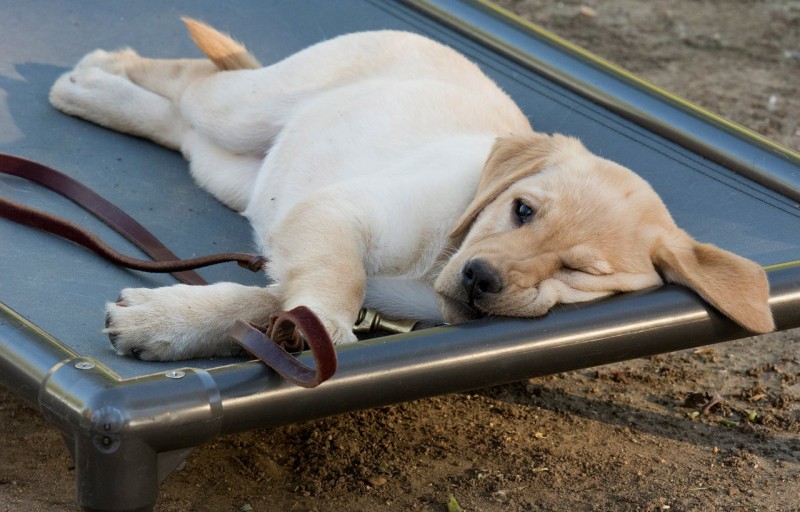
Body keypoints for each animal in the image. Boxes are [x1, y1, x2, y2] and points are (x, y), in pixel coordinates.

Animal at [47, 20, 772, 360]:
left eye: (578, 271)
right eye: (521, 210)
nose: (481, 278)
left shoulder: (310, 243)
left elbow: (264, 304)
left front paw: (162, 323)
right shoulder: (333, 213)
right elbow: (333, 281)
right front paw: (325, 326)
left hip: (237, 172)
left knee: (178, 123)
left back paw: (100, 94)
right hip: (249, 107)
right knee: (193, 81)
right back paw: (99, 74)